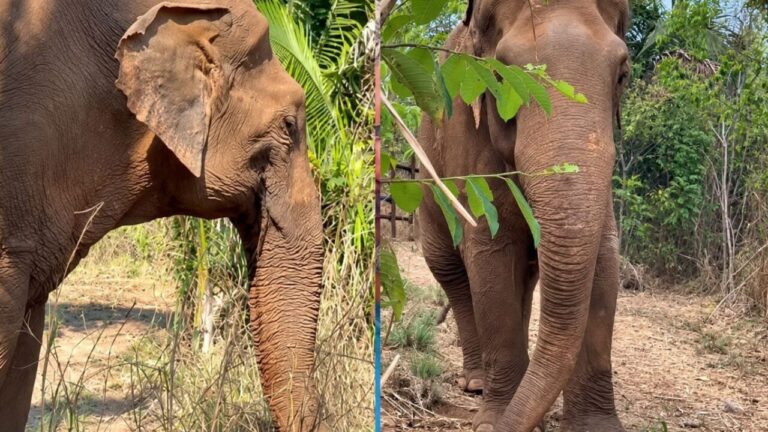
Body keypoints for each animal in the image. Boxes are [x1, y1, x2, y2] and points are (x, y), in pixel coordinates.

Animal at [418, 0, 630, 431]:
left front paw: (595, 426)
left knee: (526, 282)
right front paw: (494, 420)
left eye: (623, 74)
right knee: (453, 274)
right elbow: (491, 255)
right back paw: (476, 383)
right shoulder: (468, 136)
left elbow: (604, 264)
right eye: (500, 76)